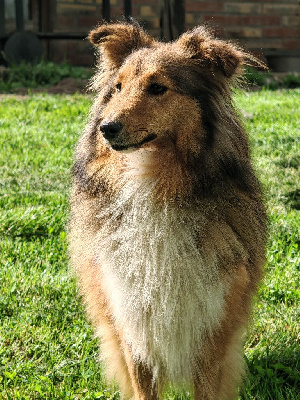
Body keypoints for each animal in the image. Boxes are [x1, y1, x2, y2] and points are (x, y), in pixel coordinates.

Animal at [70, 22, 268, 400]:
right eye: (117, 88)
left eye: (158, 88)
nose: (106, 129)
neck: (151, 180)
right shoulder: (131, 319)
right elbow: (142, 384)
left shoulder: (212, 324)